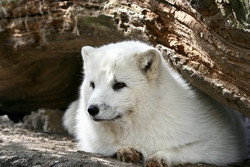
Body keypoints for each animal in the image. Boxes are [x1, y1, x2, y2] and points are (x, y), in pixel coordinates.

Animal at [63, 41, 247, 166]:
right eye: (92, 84)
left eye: (119, 85)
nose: (91, 110)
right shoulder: (91, 140)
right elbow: (108, 146)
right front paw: (125, 150)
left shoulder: (223, 145)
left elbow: (184, 150)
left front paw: (161, 156)